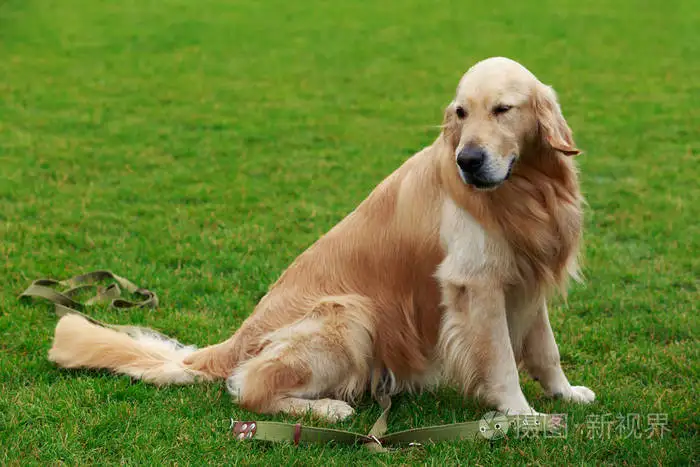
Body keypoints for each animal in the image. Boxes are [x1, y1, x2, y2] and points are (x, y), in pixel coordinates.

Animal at [50, 57, 596, 420]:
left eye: (503, 110)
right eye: (461, 114)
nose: (468, 161)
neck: (525, 189)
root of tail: (234, 342)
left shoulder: (525, 277)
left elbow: (545, 348)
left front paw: (565, 393)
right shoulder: (474, 283)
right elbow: (502, 360)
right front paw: (522, 417)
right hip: (350, 312)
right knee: (246, 386)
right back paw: (328, 409)